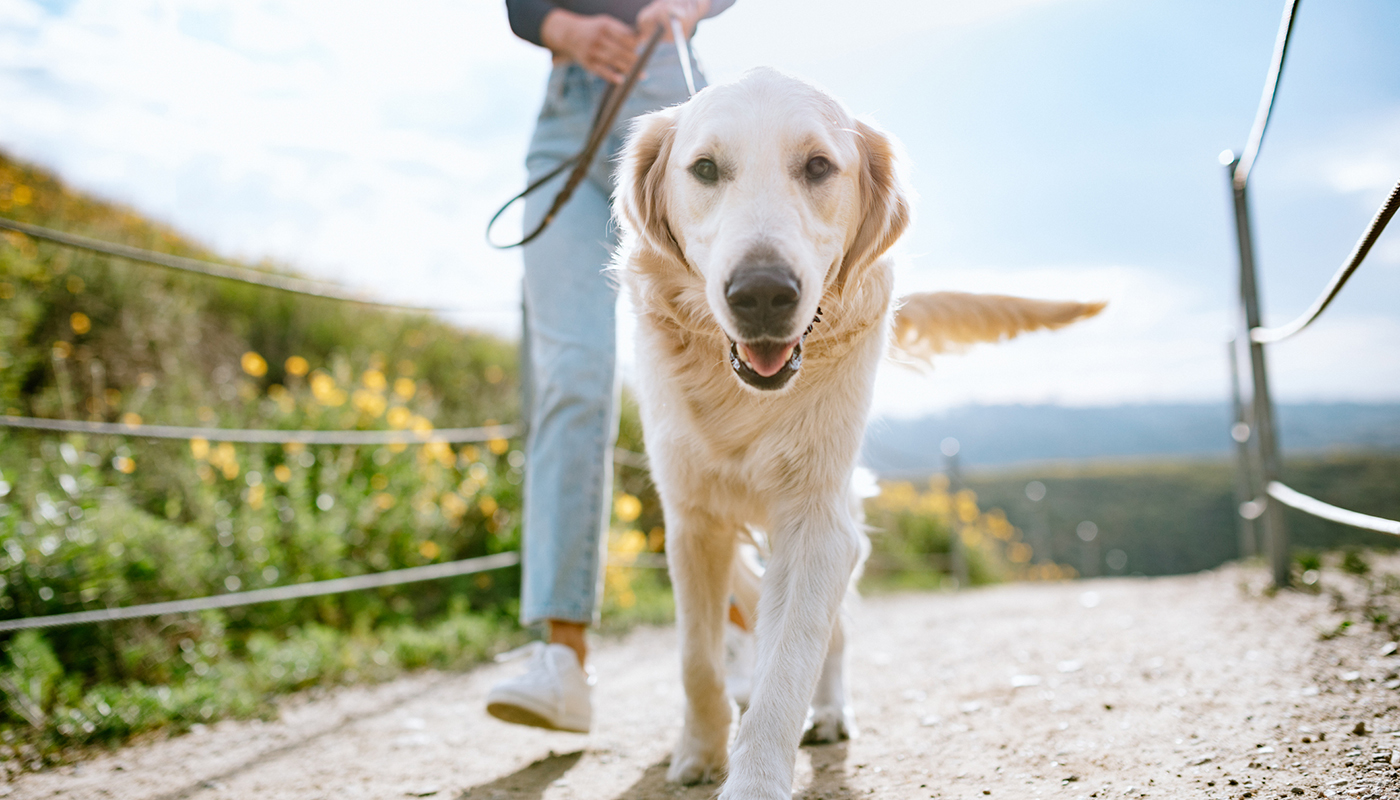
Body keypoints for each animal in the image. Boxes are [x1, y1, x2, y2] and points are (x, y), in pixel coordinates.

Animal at [613, 70, 1103, 800]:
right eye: (704, 169)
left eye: (818, 167)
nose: (762, 293)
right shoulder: (692, 519)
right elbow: (695, 657)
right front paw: (699, 750)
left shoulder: (818, 520)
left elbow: (789, 662)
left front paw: (755, 776)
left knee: (832, 632)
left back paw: (829, 711)